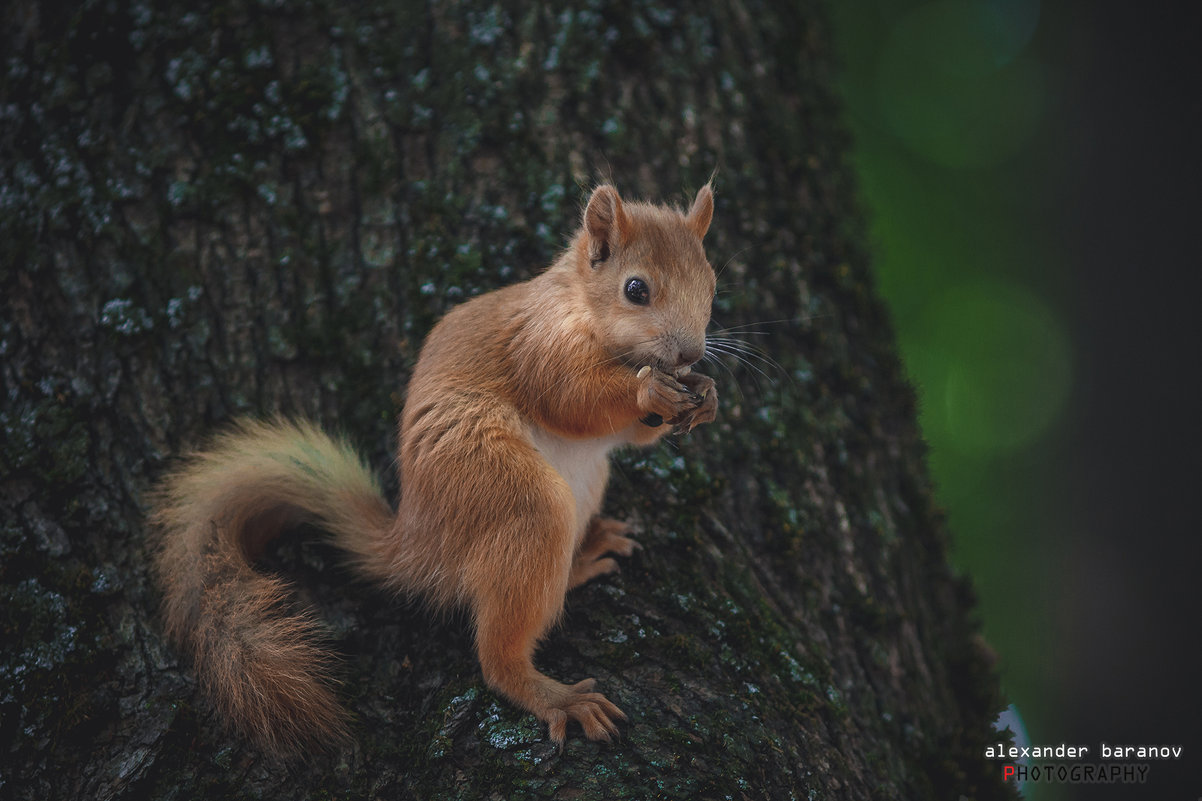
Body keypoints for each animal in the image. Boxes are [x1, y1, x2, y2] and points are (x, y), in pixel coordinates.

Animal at [146, 180, 716, 755]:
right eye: (635, 289)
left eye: (712, 284)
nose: (691, 353)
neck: (581, 306)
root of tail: (417, 543)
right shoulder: (539, 346)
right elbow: (572, 399)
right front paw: (648, 390)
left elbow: (629, 434)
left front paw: (705, 396)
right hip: (510, 492)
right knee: (498, 655)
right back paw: (552, 695)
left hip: (581, 485)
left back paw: (583, 558)